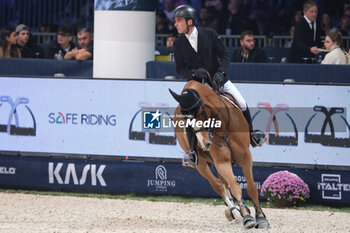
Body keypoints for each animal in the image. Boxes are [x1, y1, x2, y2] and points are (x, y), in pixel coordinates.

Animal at [170, 80, 270, 229]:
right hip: (201, 164)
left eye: (201, 111)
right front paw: (246, 216)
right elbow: (235, 187)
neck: (222, 126)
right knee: (218, 185)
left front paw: (261, 217)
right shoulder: (221, 161)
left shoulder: (245, 156)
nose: (205, 144)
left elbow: (251, 187)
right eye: (186, 120)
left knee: (223, 183)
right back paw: (235, 212)